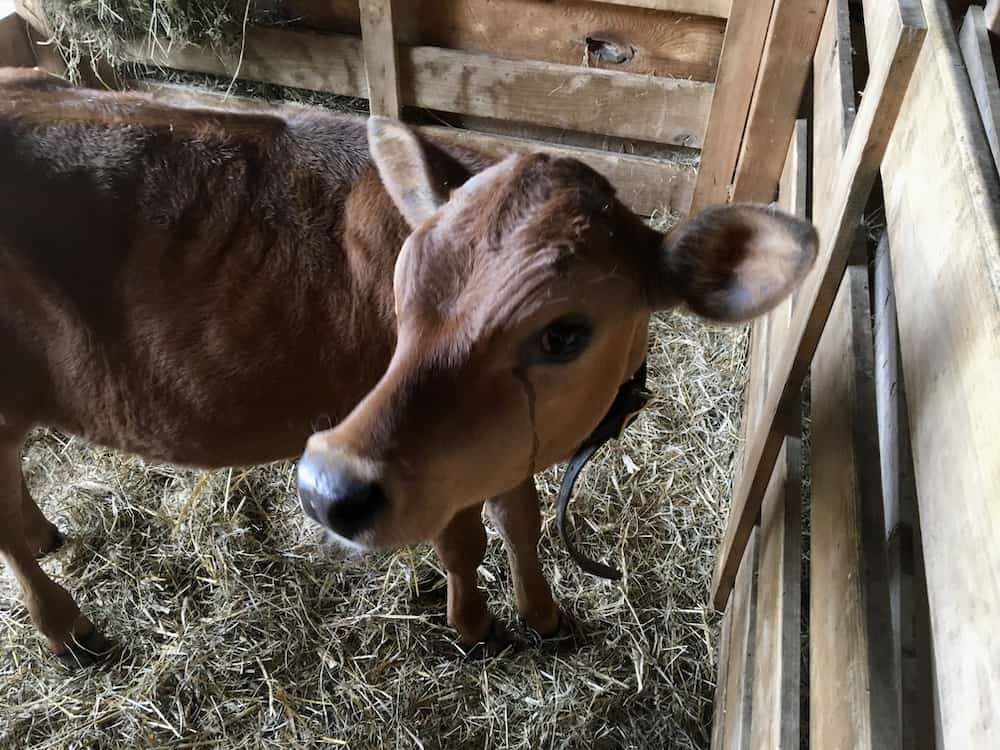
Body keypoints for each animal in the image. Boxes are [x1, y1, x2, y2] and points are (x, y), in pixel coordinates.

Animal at [0, 69, 812, 664]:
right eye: (403, 284)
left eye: (563, 334)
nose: (324, 488)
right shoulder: (436, 469)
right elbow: (465, 540)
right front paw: (475, 626)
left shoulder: (500, 445)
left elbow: (520, 522)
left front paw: (544, 615)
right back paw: (68, 628)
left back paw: (47, 536)